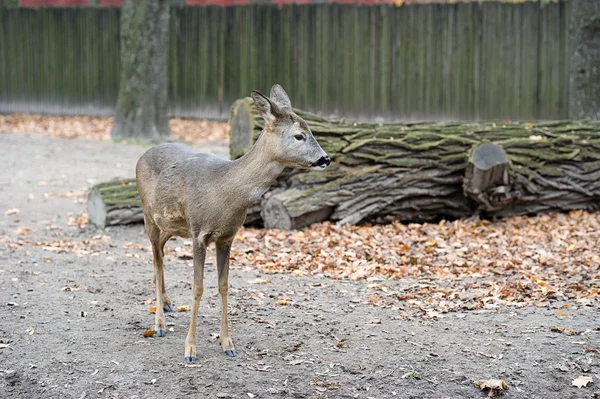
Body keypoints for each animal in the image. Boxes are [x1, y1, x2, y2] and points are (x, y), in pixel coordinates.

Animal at [135, 85, 328, 366]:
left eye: (311, 130)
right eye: (299, 135)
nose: (326, 159)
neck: (224, 192)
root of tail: (142, 155)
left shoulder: (227, 236)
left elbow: (224, 287)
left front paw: (228, 344)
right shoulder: (198, 232)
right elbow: (198, 288)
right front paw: (190, 350)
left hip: (171, 225)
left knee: (159, 252)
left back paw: (168, 304)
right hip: (149, 214)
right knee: (155, 257)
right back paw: (159, 323)